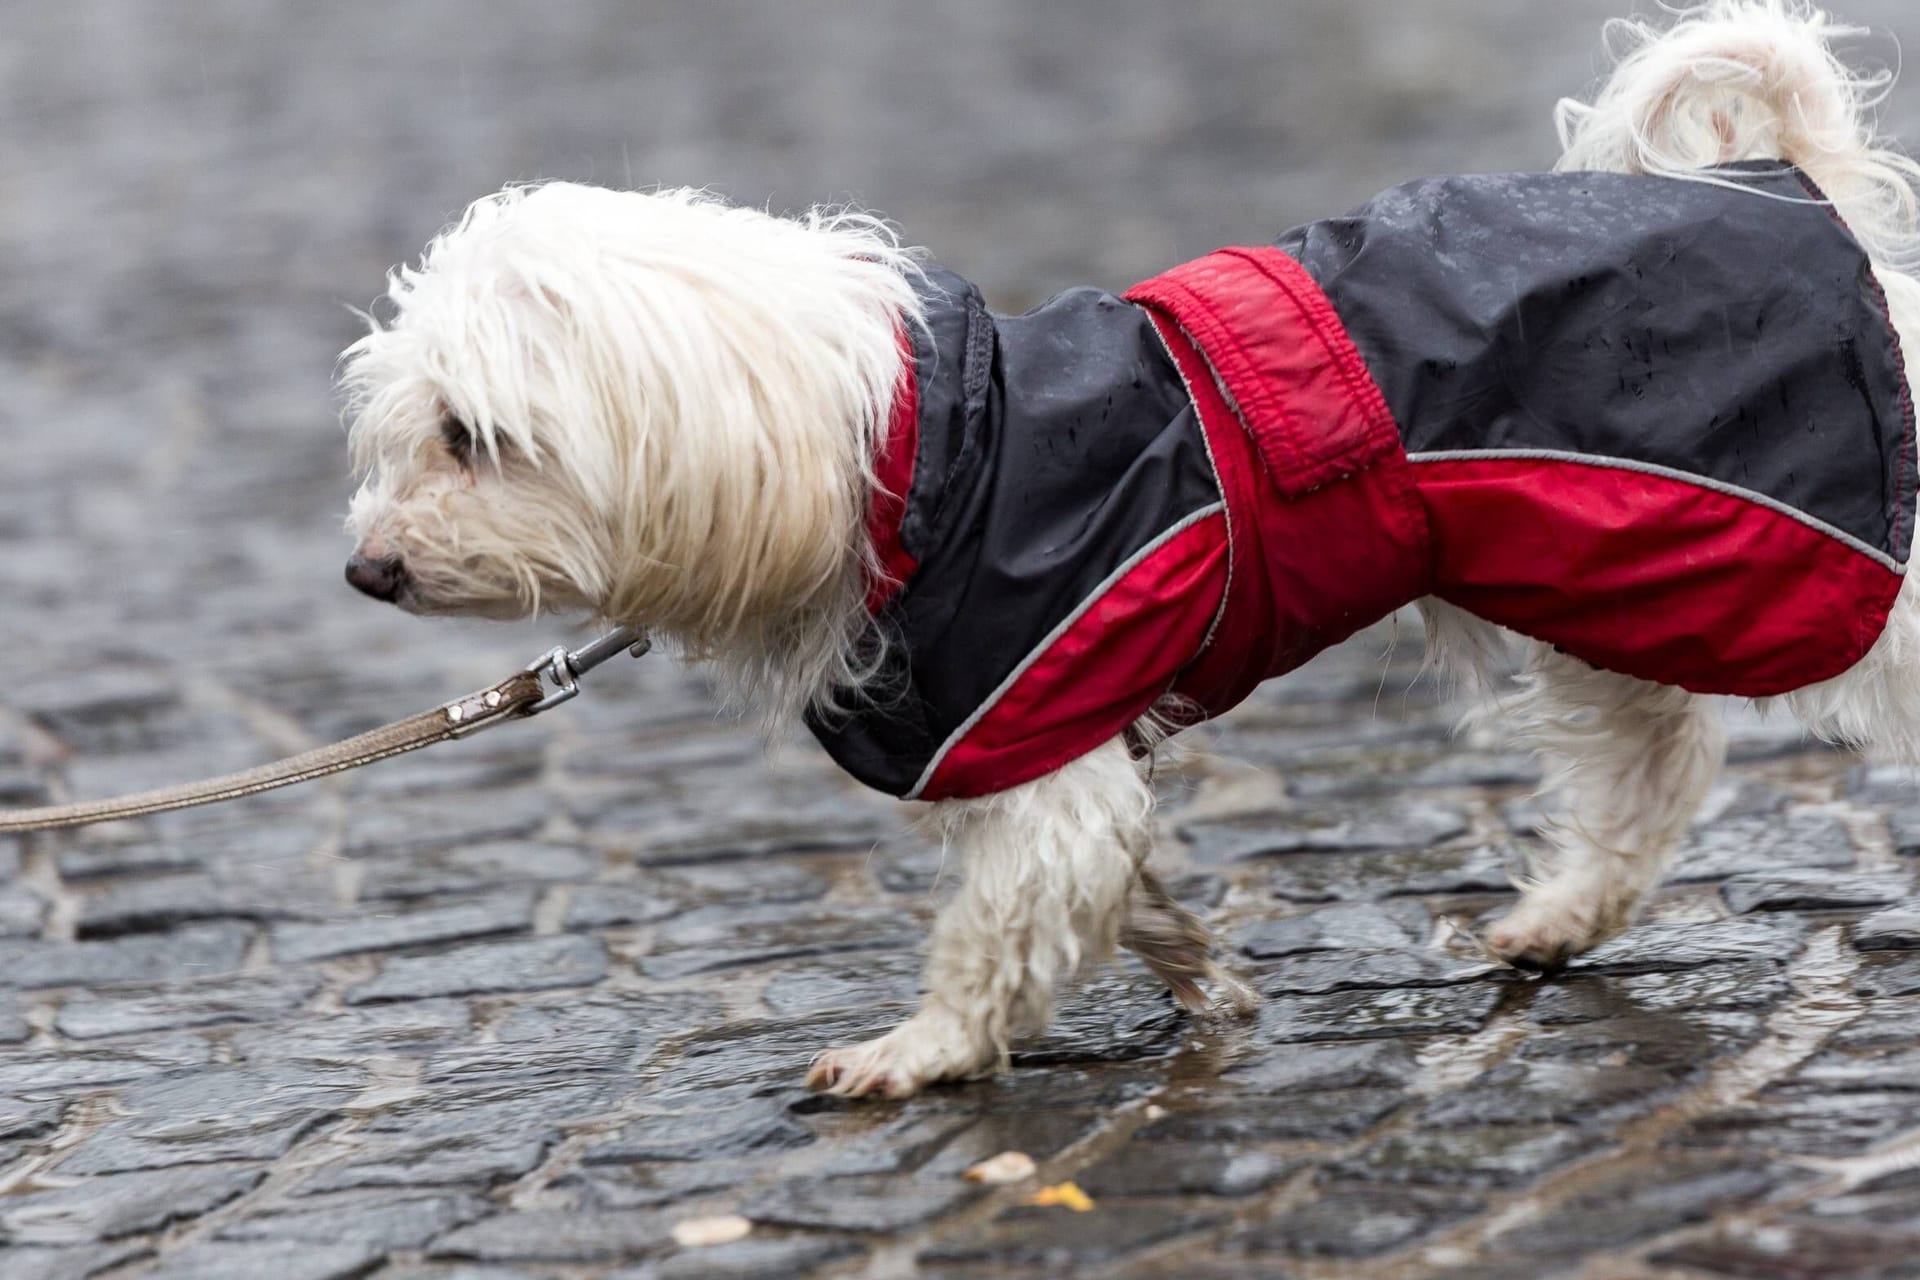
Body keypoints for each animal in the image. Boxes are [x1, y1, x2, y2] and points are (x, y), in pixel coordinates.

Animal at [341, 0, 1920, 1105]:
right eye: (404, 435)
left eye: (473, 438)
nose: (368, 572)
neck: (912, 452)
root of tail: (1797, 181)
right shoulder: (1056, 743)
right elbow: (1115, 886)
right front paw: (1206, 979)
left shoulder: (1033, 729)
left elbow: (1000, 923)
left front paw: (919, 1049)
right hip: (1617, 558)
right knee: (1658, 755)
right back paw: (1559, 916)